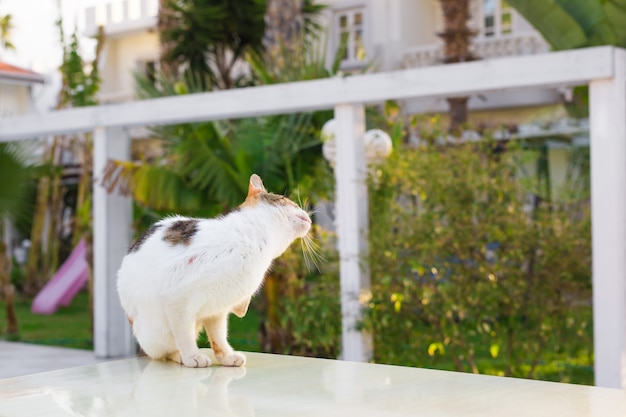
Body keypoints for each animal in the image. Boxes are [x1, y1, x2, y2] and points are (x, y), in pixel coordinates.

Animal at [116, 174, 310, 366]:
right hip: (155, 331)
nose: (308, 216)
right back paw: (181, 356)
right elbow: (183, 334)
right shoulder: (177, 299)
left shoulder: (217, 309)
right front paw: (192, 356)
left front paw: (226, 356)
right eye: (285, 199)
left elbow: (219, 336)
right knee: (164, 351)